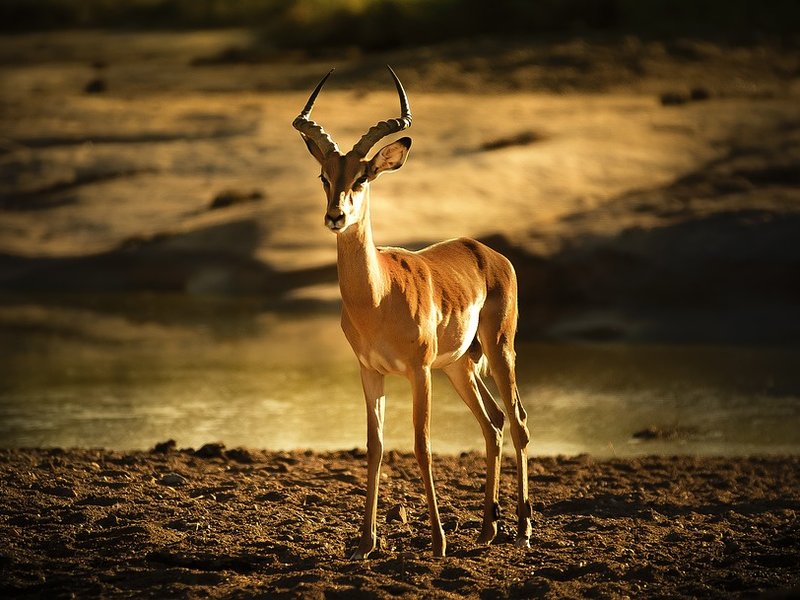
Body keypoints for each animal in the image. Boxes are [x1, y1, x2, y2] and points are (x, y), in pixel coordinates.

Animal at [292, 66, 532, 558]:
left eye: (362, 178)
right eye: (324, 176)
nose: (335, 216)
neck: (377, 298)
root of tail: (488, 253)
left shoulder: (419, 371)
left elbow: (421, 445)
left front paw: (438, 541)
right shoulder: (370, 372)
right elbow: (375, 446)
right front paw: (365, 543)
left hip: (499, 349)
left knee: (517, 420)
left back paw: (522, 529)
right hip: (460, 366)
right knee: (494, 423)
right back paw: (487, 529)